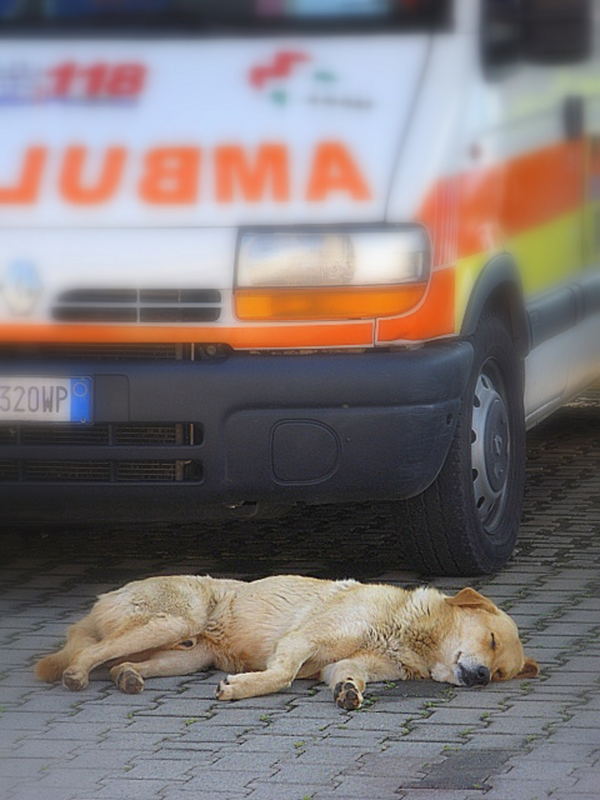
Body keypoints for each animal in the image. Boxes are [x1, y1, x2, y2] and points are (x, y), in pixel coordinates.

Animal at [34, 572, 540, 708]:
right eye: (491, 640)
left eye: (500, 675)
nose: (480, 678)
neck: (404, 630)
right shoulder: (302, 640)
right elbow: (281, 676)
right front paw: (241, 689)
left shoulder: (344, 662)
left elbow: (348, 676)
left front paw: (349, 693)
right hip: (174, 621)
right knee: (90, 651)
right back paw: (76, 673)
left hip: (186, 656)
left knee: (122, 663)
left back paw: (128, 679)